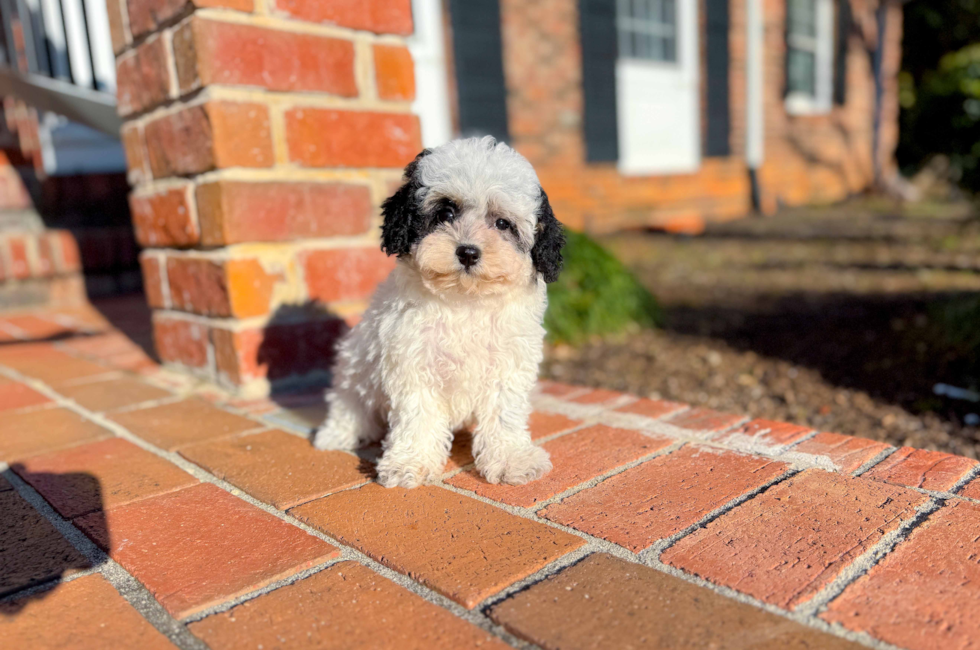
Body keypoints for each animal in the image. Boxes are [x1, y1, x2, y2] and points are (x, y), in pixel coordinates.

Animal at [314, 138, 568, 492]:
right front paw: (409, 463)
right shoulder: (412, 362)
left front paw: (511, 459)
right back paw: (336, 434)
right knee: (349, 402)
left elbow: (504, 414)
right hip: (355, 368)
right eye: (446, 213)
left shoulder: (508, 363)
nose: (468, 252)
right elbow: (418, 415)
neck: (465, 300)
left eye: (502, 224)